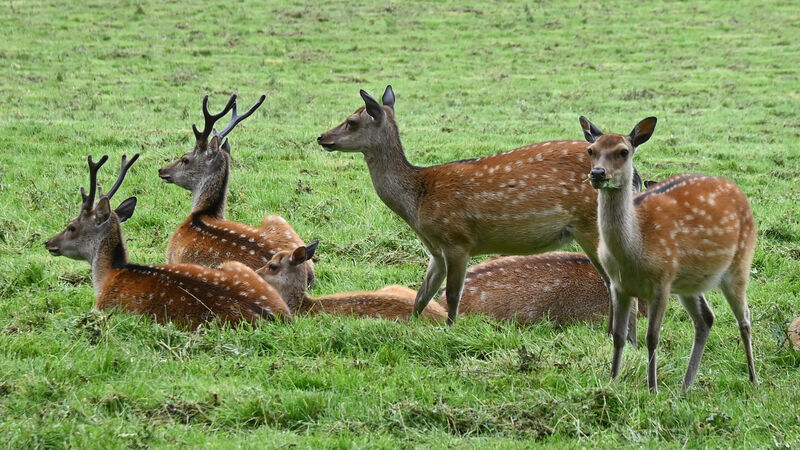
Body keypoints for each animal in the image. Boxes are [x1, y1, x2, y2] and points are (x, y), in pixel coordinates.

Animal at [159, 93, 315, 286]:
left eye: (185, 159)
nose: (162, 170)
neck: (201, 214)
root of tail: (308, 273)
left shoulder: (170, 255)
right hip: (277, 220)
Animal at [582, 115, 758, 392]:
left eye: (623, 151)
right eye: (591, 150)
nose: (598, 173)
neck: (632, 250)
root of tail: (738, 192)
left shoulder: (662, 282)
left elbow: (652, 337)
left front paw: (652, 388)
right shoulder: (619, 286)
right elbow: (619, 336)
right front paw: (612, 380)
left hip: (739, 264)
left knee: (745, 319)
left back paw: (753, 379)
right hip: (689, 282)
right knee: (706, 319)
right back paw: (685, 387)